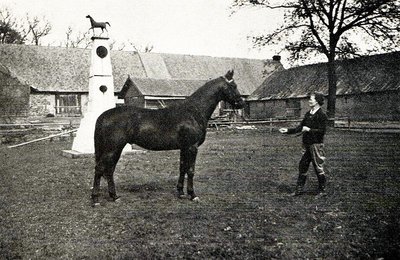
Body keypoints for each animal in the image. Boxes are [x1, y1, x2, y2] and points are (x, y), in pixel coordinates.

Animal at [91, 70, 244, 206]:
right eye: (233, 85)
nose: (241, 103)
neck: (193, 112)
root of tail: (103, 116)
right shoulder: (192, 147)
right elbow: (191, 170)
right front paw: (192, 195)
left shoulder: (184, 147)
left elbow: (182, 168)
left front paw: (180, 192)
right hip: (112, 148)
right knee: (100, 169)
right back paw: (95, 199)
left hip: (116, 149)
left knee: (109, 170)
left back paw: (114, 196)